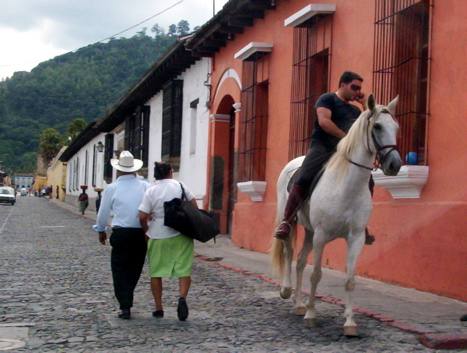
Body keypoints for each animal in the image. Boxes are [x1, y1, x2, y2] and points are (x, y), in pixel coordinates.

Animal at [272, 95, 404, 336]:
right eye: (378, 127)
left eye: (396, 127)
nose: (394, 164)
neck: (346, 186)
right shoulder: (322, 235)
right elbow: (316, 275)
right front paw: (312, 315)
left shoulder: (356, 238)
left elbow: (350, 279)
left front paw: (349, 322)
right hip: (292, 222)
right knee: (288, 251)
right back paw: (287, 291)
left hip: (309, 231)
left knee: (300, 261)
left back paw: (299, 303)